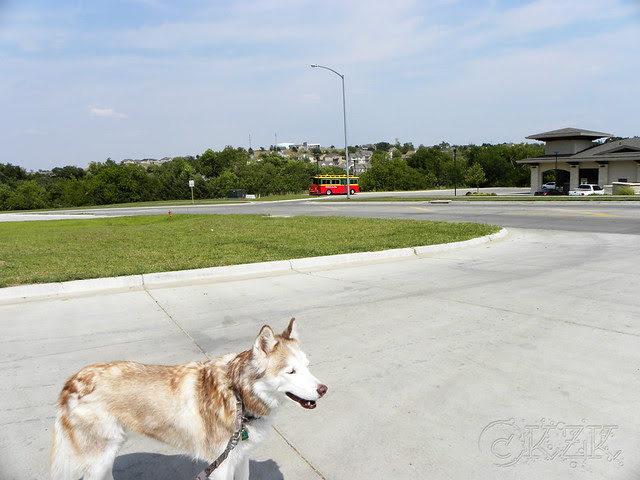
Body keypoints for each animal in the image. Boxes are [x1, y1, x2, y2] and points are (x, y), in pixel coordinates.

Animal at [50, 318, 327, 480]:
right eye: (290, 371)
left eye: (307, 366)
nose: (324, 389)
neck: (237, 395)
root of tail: (71, 381)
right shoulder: (221, 466)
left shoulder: (239, 458)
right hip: (98, 457)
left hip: (108, 453)